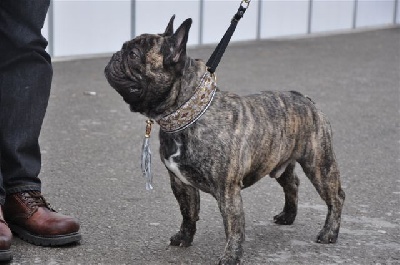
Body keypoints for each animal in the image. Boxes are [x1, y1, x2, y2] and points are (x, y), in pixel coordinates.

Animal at [104, 16, 346, 262]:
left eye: (134, 54)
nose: (115, 55)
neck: (188, 113)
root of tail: (305, 99)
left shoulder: (227, 190)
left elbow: (233, 227)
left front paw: (231, 256)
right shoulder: (180, 182)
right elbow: (187, 212)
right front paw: (184, 237)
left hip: (319, 165)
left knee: (336, 197)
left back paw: (329, 232)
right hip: (279, 162)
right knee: (292, 183)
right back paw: (288, 216)